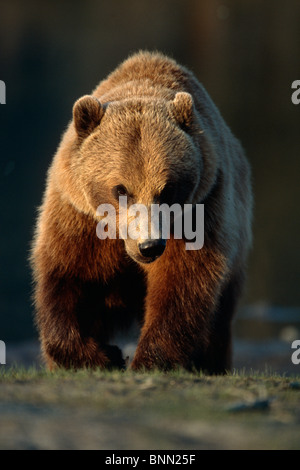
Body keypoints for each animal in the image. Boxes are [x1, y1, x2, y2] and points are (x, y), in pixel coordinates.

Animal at [30, 50, 252, 374]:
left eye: (167, 189)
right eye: (121, 189)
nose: (149, 246)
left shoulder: (202, 210)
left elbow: (182, 283)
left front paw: (150, 359)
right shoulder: (78, 216)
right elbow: (68, 275)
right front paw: (98, 355)